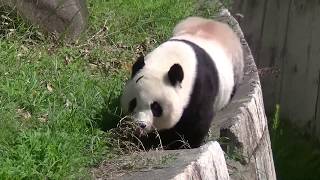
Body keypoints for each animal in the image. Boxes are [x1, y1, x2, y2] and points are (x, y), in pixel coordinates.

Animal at [121, 16, 244, 149]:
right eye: (133, 102)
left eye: (156, 107)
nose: (140, 124)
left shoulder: (199, 89)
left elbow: (196, 123)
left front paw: (179, 144)